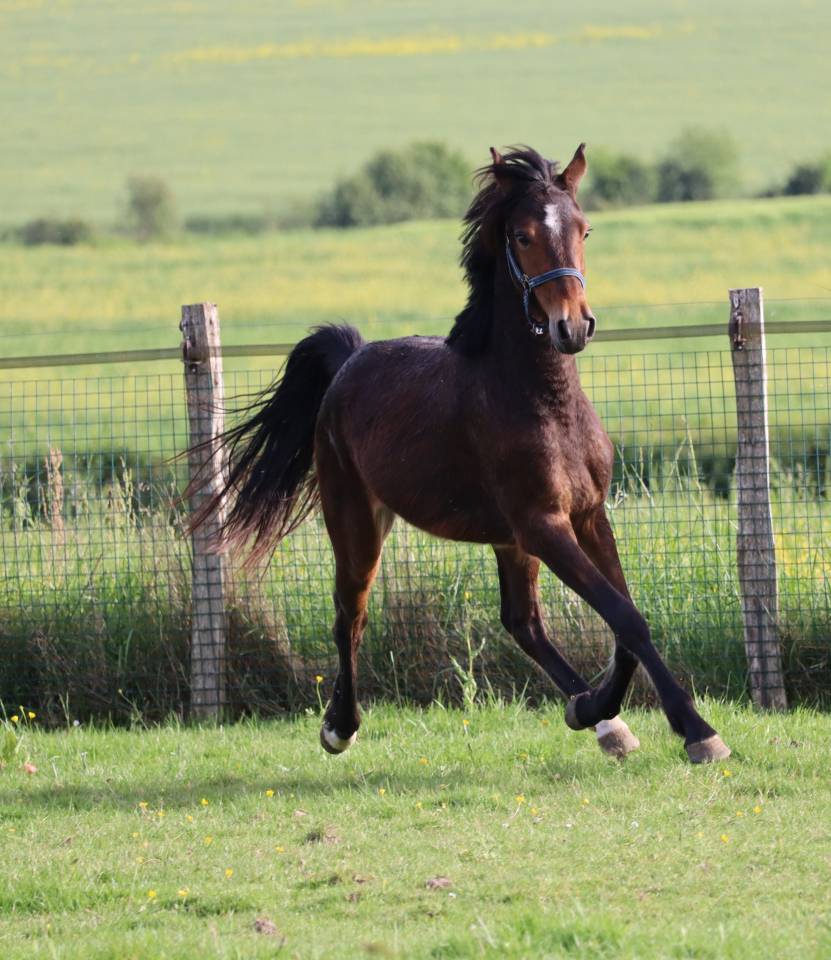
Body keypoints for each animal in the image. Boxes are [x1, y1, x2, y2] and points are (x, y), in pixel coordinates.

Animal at [189, 144, 730, 764]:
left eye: (584, 230)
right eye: (522, 235)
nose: (573, 326)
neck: (542, 401)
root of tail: (349, 361)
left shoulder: (587, 516)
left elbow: (623, 619)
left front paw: (607, 709)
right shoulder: (543, 524)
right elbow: (626, 617)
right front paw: (698, 731)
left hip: (504, 540)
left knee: (522, 622)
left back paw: (598, 719)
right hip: (357, 522)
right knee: (350, 616)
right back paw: (340, 727)